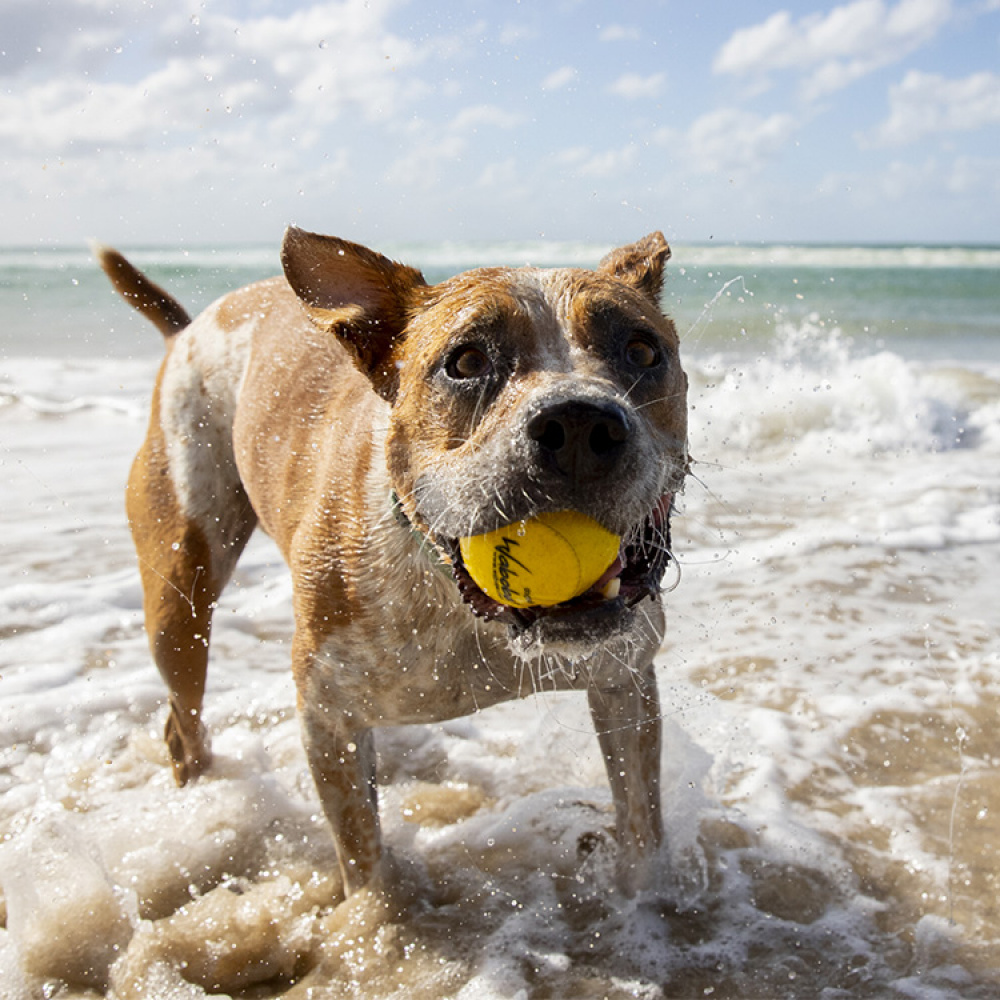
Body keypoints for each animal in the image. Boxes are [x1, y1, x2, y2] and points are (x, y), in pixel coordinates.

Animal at [95, 232, 688, 900]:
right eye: (465, 363)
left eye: (642, 350)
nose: (580, 423)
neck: (455, 594)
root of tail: (189, 328)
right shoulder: (327, 716)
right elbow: (364, 864)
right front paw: (379, 922)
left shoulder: (624, 683)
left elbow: (641, 832)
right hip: (180, 585)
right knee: (183, 716)